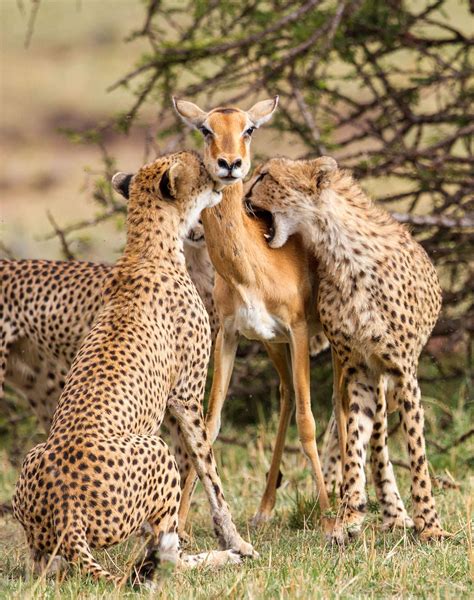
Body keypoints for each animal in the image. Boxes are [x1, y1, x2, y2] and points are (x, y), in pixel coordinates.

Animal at [12, 151, 254, 584]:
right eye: (200, 167)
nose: (223, 174)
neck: (146, 248)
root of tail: (67, 511)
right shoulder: (186, 396)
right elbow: (208, 467)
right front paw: (237, 541)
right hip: (154, 448)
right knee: (166, 562)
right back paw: (217, 558)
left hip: (35, 472)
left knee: (47, 567)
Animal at [246, 157, 450, 540]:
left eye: (265, 175)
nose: (242, 196)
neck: (339, 252)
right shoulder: (360, 369)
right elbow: (354, 439)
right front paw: (349, 511)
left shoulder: (402, 371)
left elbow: (416, 450)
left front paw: (429, 525)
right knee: (373, 440)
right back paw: (384, 510)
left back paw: (397, 514)